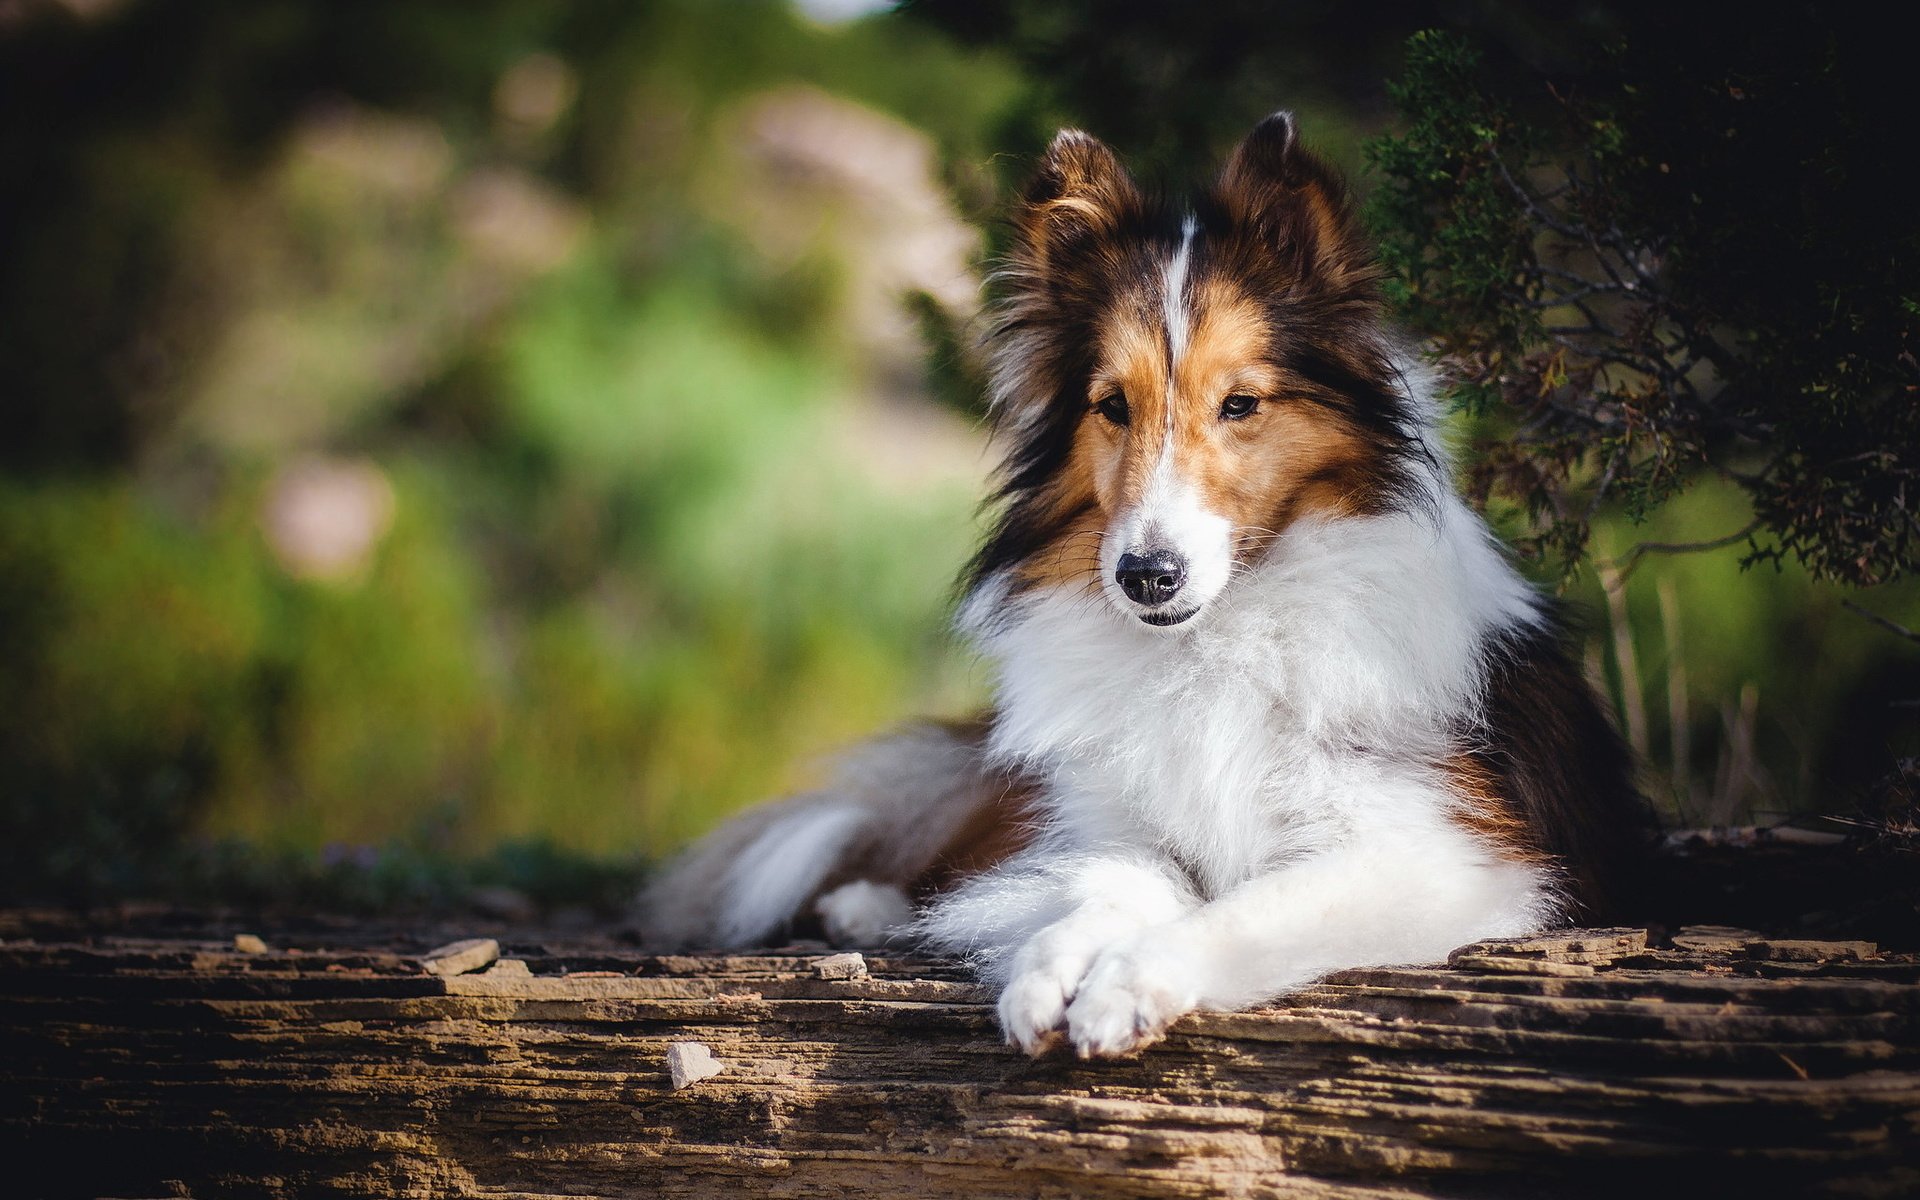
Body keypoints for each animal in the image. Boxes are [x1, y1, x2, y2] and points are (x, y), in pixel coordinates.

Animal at [637, 109, 1643, 1044]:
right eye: (1112, 405)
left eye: (1240, 403)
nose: (1146, 576)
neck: (1218, 640)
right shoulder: (1124, 827)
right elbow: (1109, 883)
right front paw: (1050, 967)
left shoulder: (1445, 856)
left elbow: (1252, 903)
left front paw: (1130, 982)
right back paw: (871, 906)